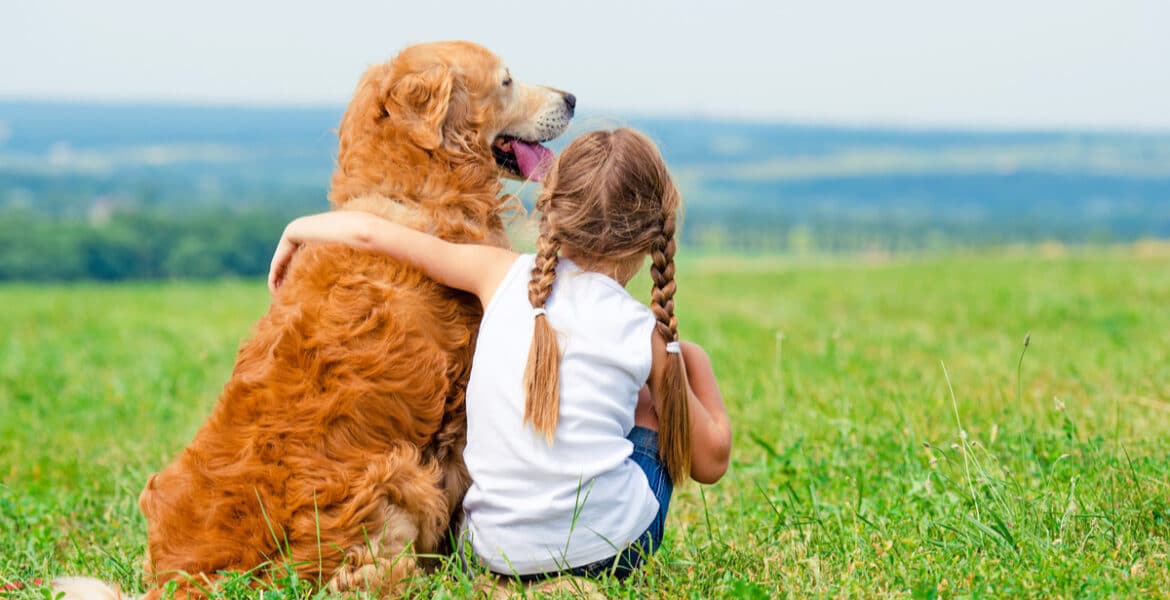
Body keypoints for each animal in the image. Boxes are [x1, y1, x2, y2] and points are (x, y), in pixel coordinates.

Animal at [55, 39, 575, 596]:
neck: (412, 188)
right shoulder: (458, 411)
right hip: (398, 476)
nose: (571, 98)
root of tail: (188, 580)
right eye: (506, 81)